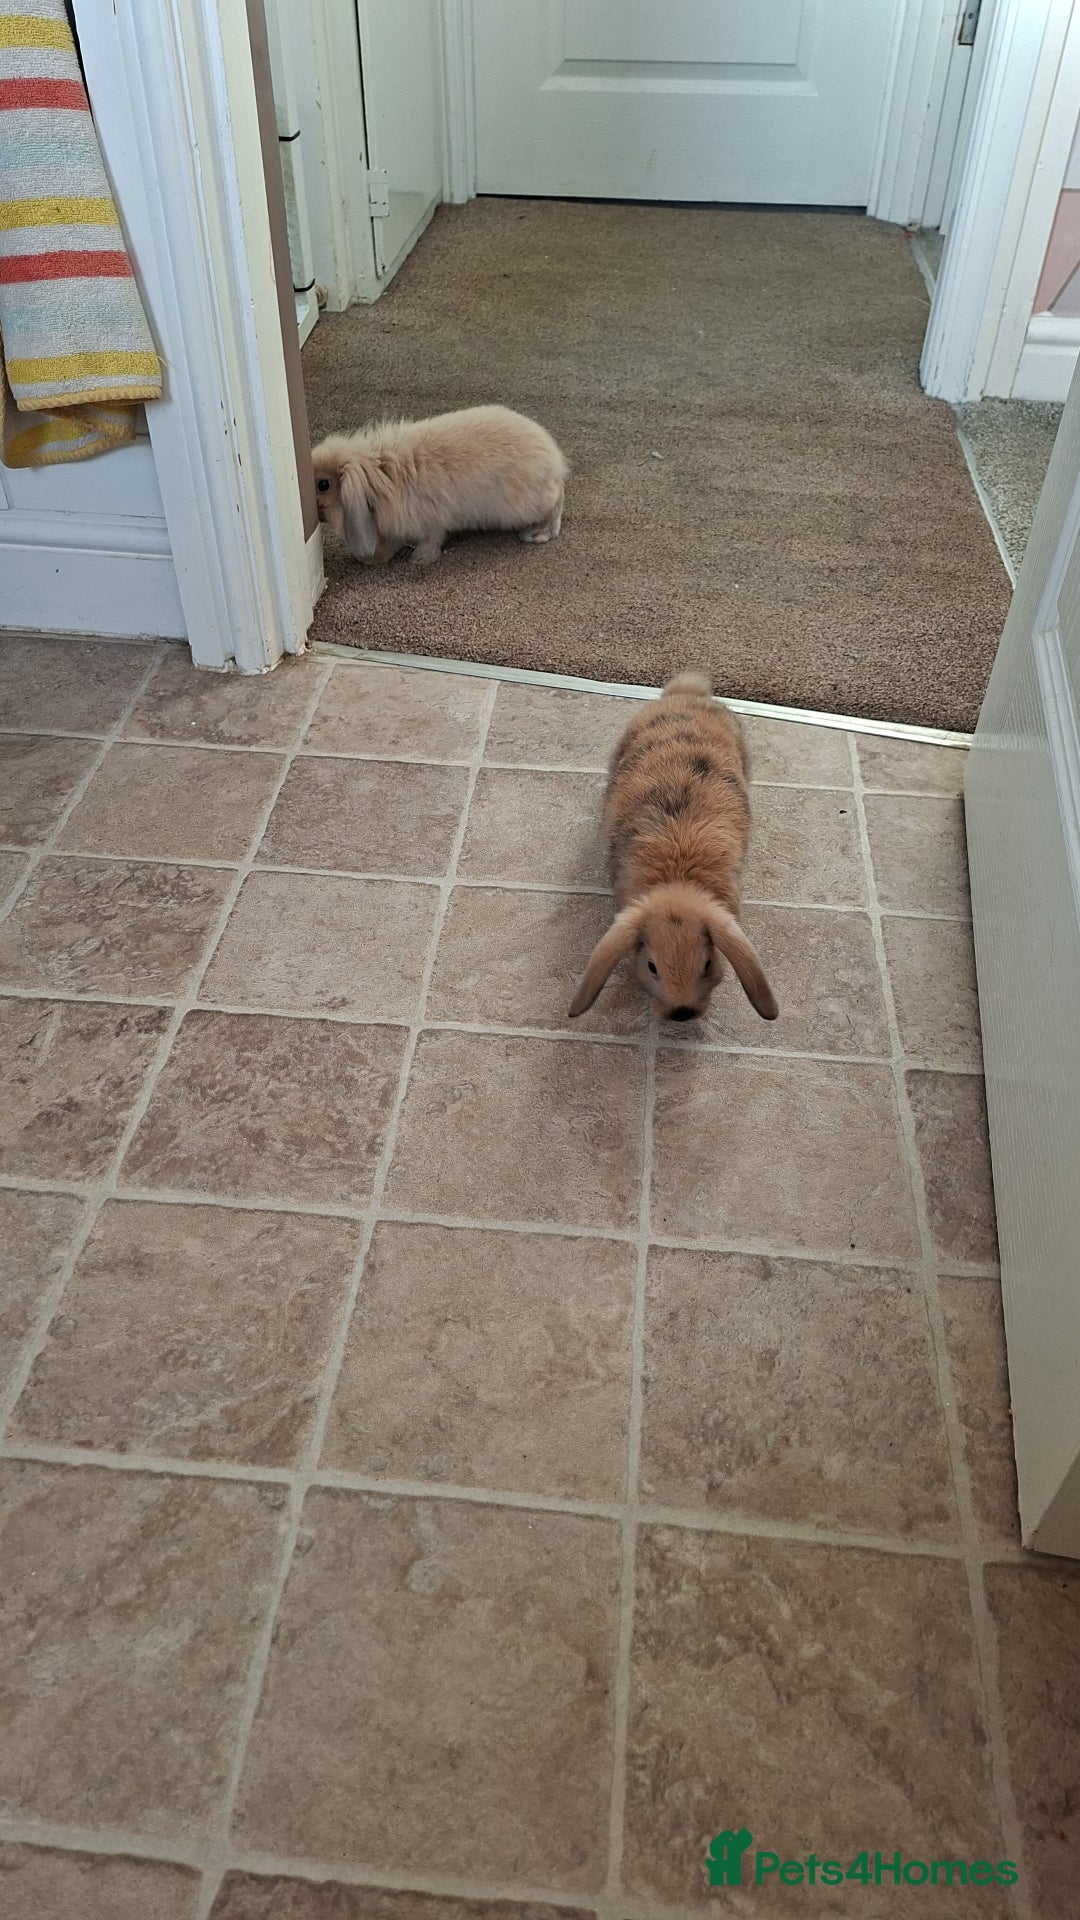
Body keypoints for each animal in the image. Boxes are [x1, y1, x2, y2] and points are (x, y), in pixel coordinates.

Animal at [310, 405, 568, 566]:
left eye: (323, 484)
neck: (377, 477)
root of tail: (554, 459)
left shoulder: (430, 521)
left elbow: (431, 540)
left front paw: (419, 560)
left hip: (529, 503)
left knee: (554, 509)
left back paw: (535, 534)